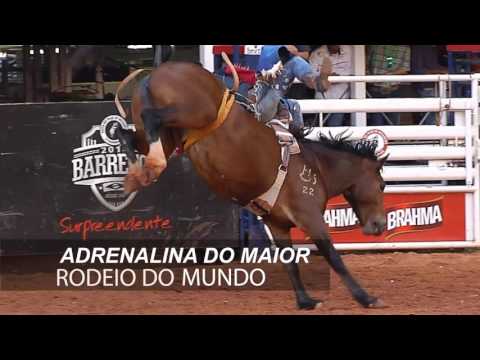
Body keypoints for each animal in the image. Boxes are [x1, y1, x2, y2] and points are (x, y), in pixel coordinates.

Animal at [114, 57, 388, 310]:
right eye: (382, 185)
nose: (380, 224)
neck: (316, 165)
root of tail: (155, 72)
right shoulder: (309, 216)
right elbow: (333, 256)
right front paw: (366, 298)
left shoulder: (277, 225)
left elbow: (290, 262)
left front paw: (305, 301)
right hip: (194, 112)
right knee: (151, 118)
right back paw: (153, 164)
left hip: (164, 132)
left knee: (127, 134)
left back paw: (137, 174)